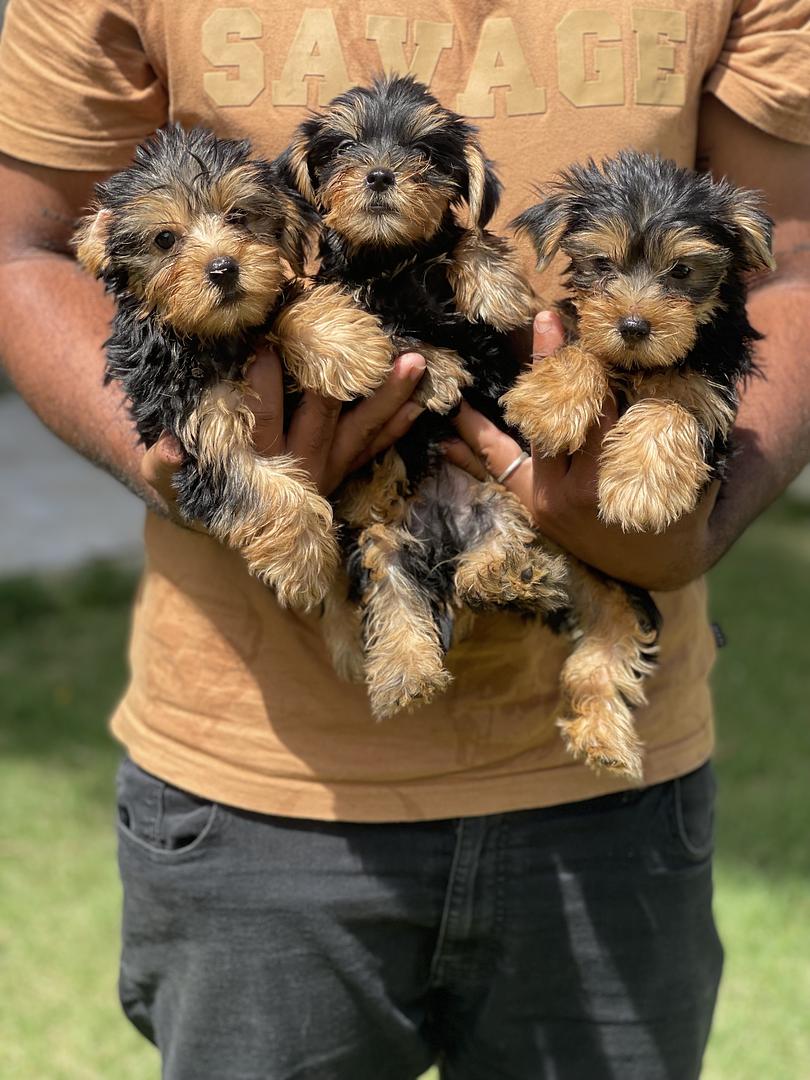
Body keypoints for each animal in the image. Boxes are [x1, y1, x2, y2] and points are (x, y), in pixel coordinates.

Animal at [72, 123, 393, 613]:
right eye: (164, 239)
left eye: (239, 217)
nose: (223, 268)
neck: (216, 338)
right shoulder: (200, 424)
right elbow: (253, 486)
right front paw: (303, 560)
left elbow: (281, 305)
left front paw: (345, 346)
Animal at [505, 153, 777, 535]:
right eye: (602, 263)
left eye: (681, 270)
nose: (633, 327)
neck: (642, 366)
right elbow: (584, 348)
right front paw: (552, 403)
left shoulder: (712, 405)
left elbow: (672, 409)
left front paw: (641, 489)